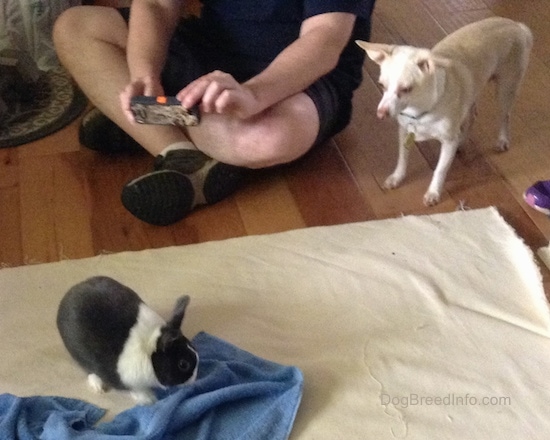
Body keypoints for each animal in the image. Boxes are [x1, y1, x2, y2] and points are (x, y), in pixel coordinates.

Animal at [57, 276, 199, 404]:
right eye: (183, 364)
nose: (194, 379)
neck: (150, 354)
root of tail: (70, 292)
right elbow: (134, 389)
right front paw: (149, 399)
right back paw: (97, 386)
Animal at [358, 18, 536, 207]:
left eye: (406, 89)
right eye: (382, 85)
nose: (381, 113)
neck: (419, 111)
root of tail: (516, 25)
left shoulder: (448, 142)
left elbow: (440, 169)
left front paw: (433, 193)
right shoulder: (404, 132)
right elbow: (402, 159)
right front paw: (397, 177)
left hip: (506, 89)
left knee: (504, 116)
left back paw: (502, 140)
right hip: (471, 93)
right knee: (472, 116)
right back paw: (463, 140)